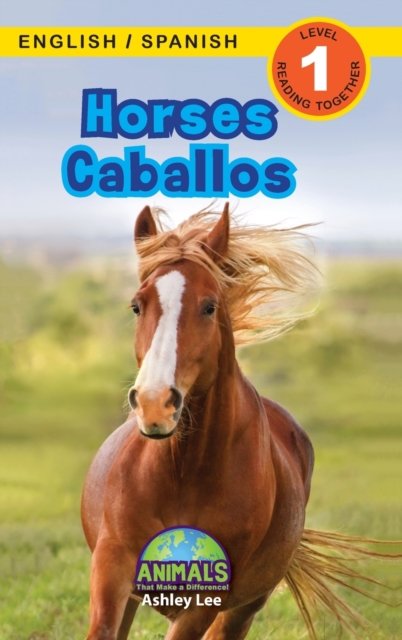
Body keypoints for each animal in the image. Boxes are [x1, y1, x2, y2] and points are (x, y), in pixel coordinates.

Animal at [81, 204, 392, 640]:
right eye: (137, 306)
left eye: (210, 306)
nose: (155, 404)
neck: (181, 474)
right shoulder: (112, 571)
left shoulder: (204, 601)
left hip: (243, 608)